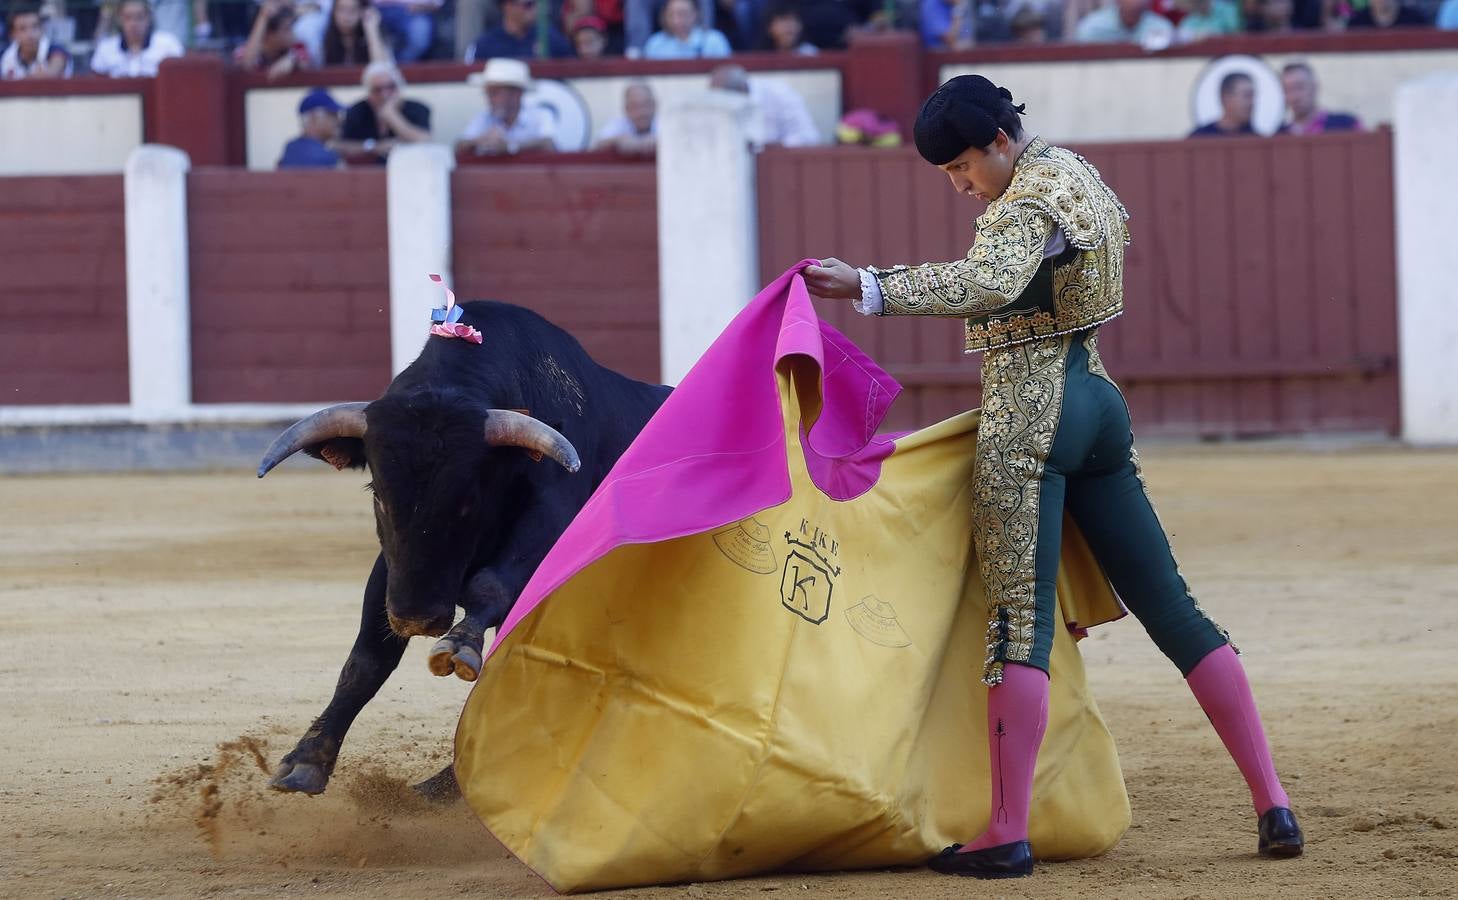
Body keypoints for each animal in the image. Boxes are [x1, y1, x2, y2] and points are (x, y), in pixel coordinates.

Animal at [259, 300, 667, 793]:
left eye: (467, 501)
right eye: (378, 495)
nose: (416, 618)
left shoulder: (546, 526)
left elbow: (490, 591)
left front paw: (458, 645)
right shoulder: (392, 570)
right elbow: (368, 657)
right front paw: (305, 761)